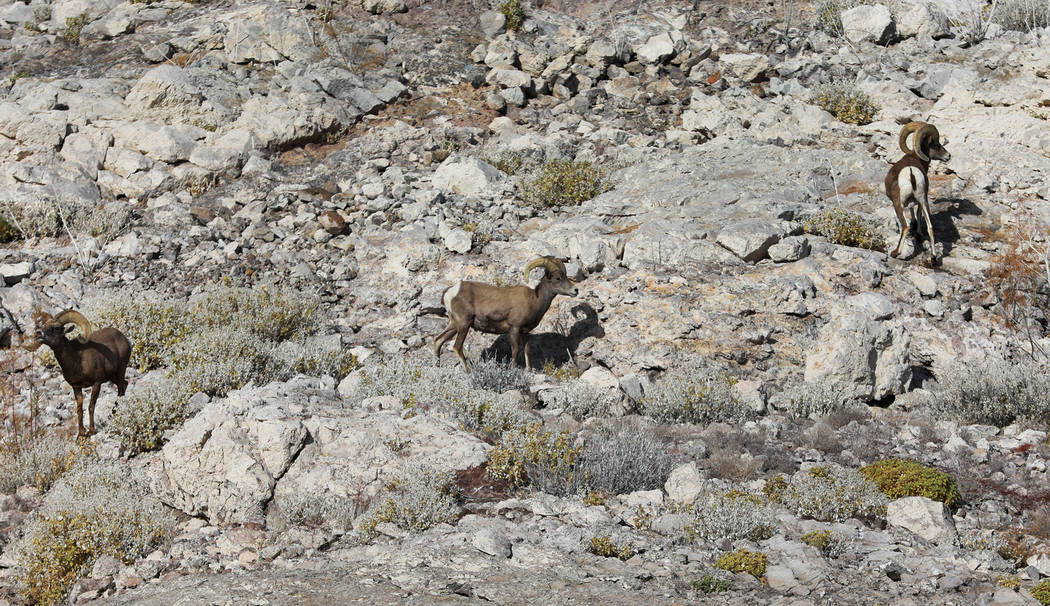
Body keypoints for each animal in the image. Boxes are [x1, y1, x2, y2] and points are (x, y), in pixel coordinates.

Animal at [27, 308, 131, 436]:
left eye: (56, 328)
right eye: (43, 325)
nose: (38, 333)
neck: (77, 360)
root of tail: (124, 339)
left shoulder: (96, 384)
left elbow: (91, 407)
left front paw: (91, 431)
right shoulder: (76, 387)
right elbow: (79, 409)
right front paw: (81, 433)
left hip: (121, 370)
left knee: (121, 388)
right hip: (113, 377)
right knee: (124, 385)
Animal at [434, 254, 583, 369]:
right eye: (558, 278)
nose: (575, 290)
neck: (534, 300)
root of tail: (451, 292)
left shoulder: (525, 332)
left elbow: (527, 350)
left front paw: (529, 371)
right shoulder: (514, 329)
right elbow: (515, 351)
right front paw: (513, 369)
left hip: (455, 325)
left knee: (438, 340)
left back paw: (437, 366)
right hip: (464, 325)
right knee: (457, 347)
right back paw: (468, 371)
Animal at [886, 121, 953, 263]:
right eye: (936, 145)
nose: (948, 156)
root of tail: (911, 173)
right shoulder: (919, 201)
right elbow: (916, 213)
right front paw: (918, 234)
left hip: (898, 204)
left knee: (905, 226)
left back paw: (895, 252)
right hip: (924, 200)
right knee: (930, 227)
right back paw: (933, 257)